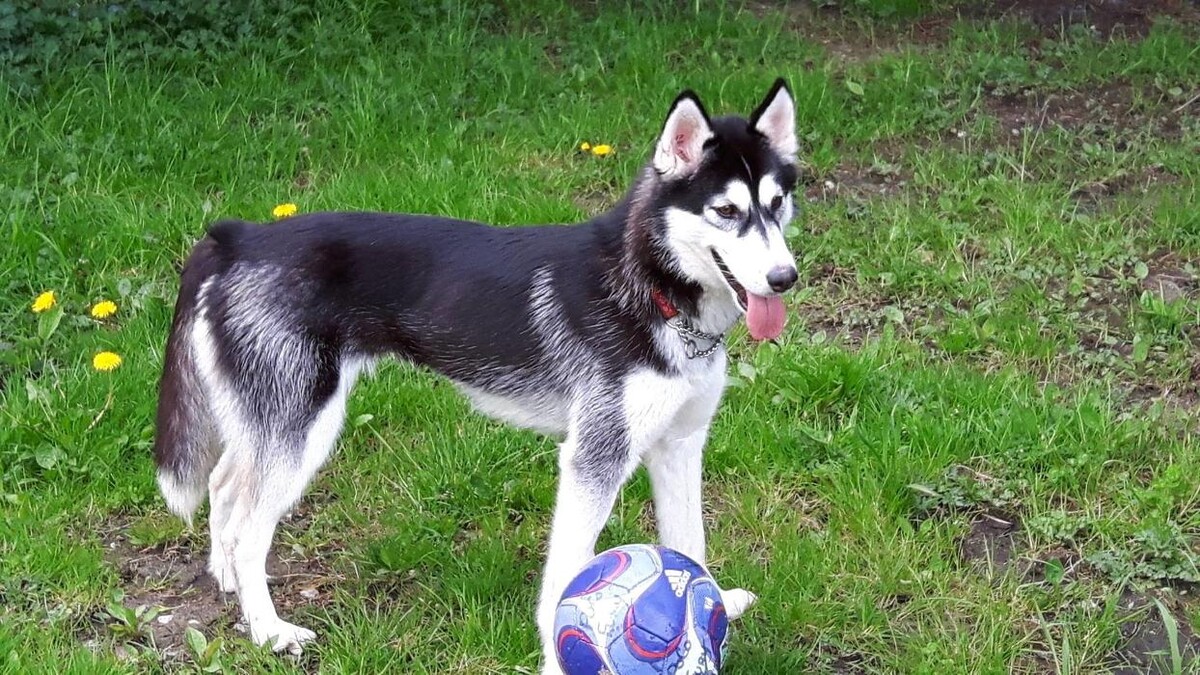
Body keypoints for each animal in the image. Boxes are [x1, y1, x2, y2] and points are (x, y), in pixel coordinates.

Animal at [154, 78, 801, 667]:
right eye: (726, 211)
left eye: (776, 205)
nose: (785, 278)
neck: (652, 288)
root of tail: (240, 235)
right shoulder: (595, 458)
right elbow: (566, 573)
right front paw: (556, 654)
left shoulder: (680, 443)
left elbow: (688, 540)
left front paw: (712, 602)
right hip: (303, 432)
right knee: (247, 527)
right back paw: (268, 629)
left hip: (269, 420)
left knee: (224, 487)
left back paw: (230, 584)